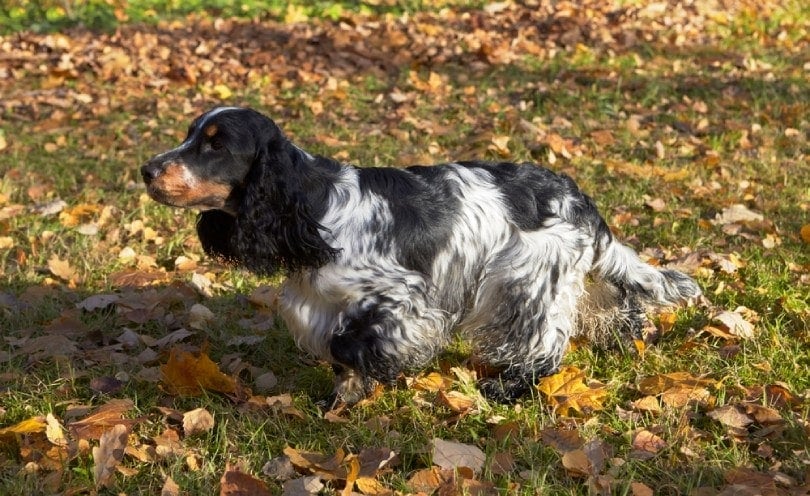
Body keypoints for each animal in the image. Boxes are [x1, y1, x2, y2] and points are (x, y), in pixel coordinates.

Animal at [142, 106, 696, 404]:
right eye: (190, 135)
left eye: (215, 146)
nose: (147, 169)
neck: (312, 207)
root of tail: (578, 198)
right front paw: (342, 396)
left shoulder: (402, 295)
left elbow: (351, 343)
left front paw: (381, 370)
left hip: (524, 282)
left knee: (543, 343)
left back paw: (510, 388)